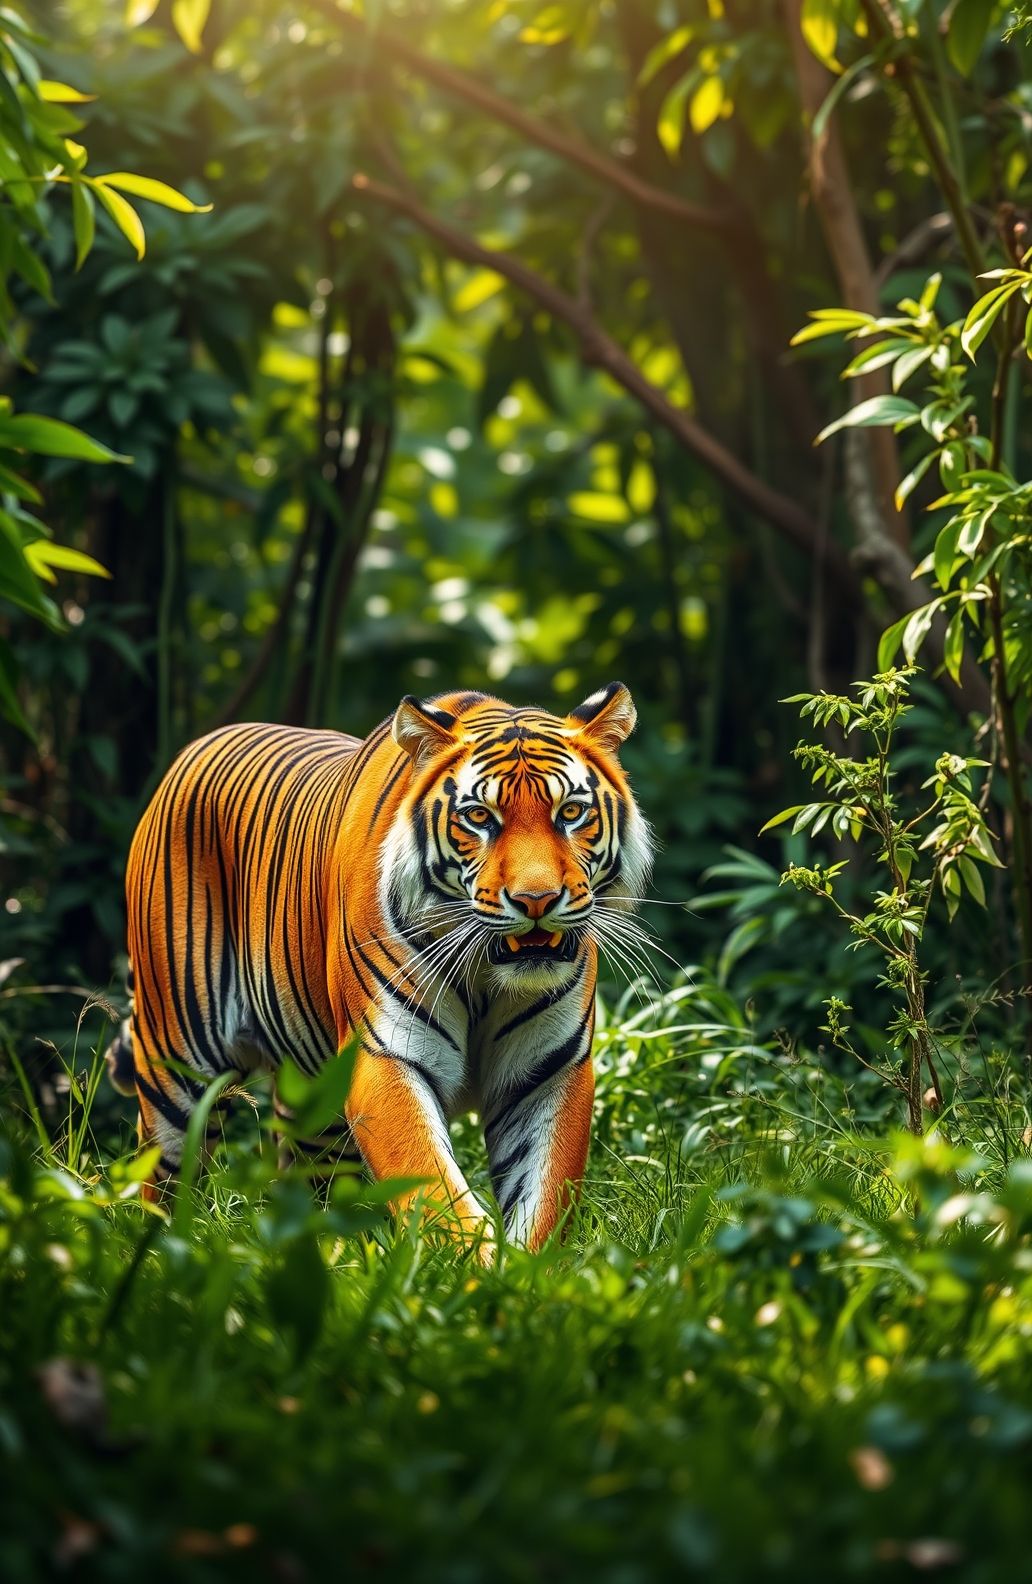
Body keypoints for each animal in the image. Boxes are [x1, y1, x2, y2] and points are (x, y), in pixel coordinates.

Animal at [107, 682, 652, 1255]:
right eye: (480, 818)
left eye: (570, 812)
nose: (536, 900)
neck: (486, 975)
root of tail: (197, 746)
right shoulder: (386, 1056)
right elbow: (436, 1193)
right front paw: (475, 1271)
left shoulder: (549, 1071)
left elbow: (542, 1203)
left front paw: (525, 1272)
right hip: (177, 1068)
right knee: (162, 1180)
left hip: (313, 1106)